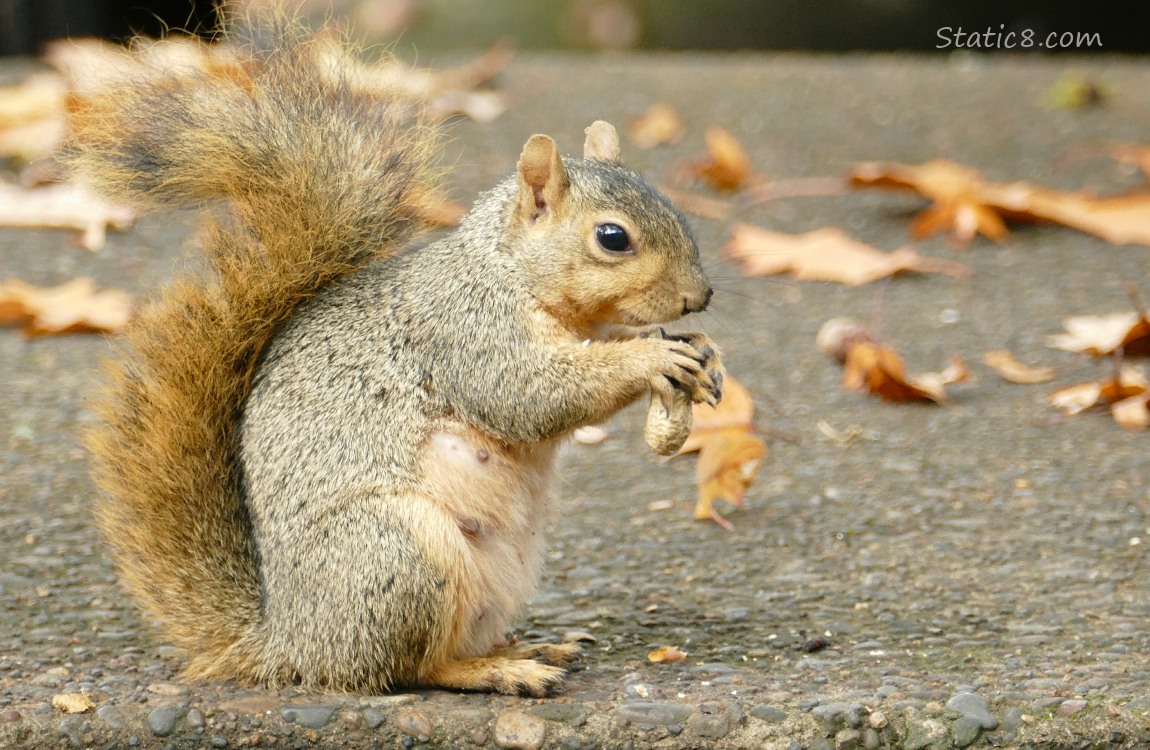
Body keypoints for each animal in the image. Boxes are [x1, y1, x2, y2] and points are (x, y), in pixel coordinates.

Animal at [71, 17, 722, 699]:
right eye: (612, 238)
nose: (700, 297)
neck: (509, 271)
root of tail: (290, 643)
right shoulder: (466, 331)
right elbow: (531, 394)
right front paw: (649, 359)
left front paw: (697, 353)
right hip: (400, 553)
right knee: (410, 668)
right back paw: (496, 669)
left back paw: (528, 645)